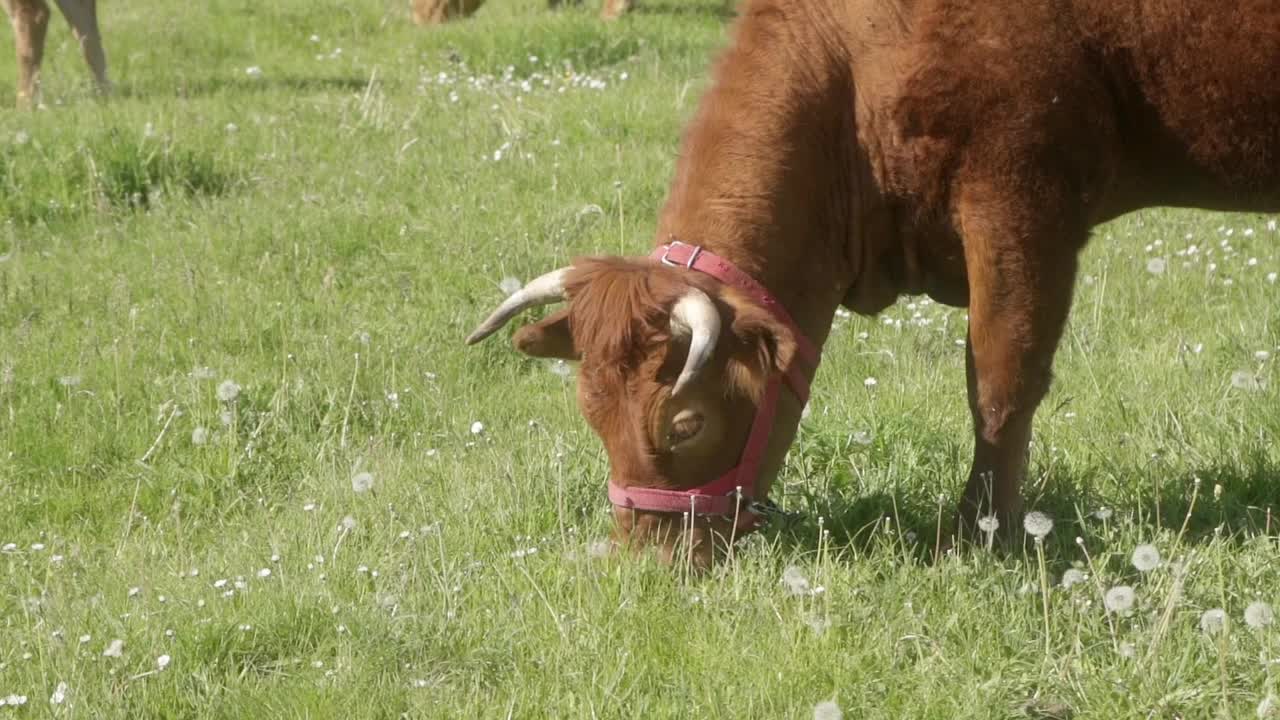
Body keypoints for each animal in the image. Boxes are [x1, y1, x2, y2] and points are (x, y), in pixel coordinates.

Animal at [468, 0, 1280, 563]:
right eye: (591, 412)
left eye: (685, 423)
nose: (646, 565)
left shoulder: (1021, 199)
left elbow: (1001, 382)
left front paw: (980, 535)